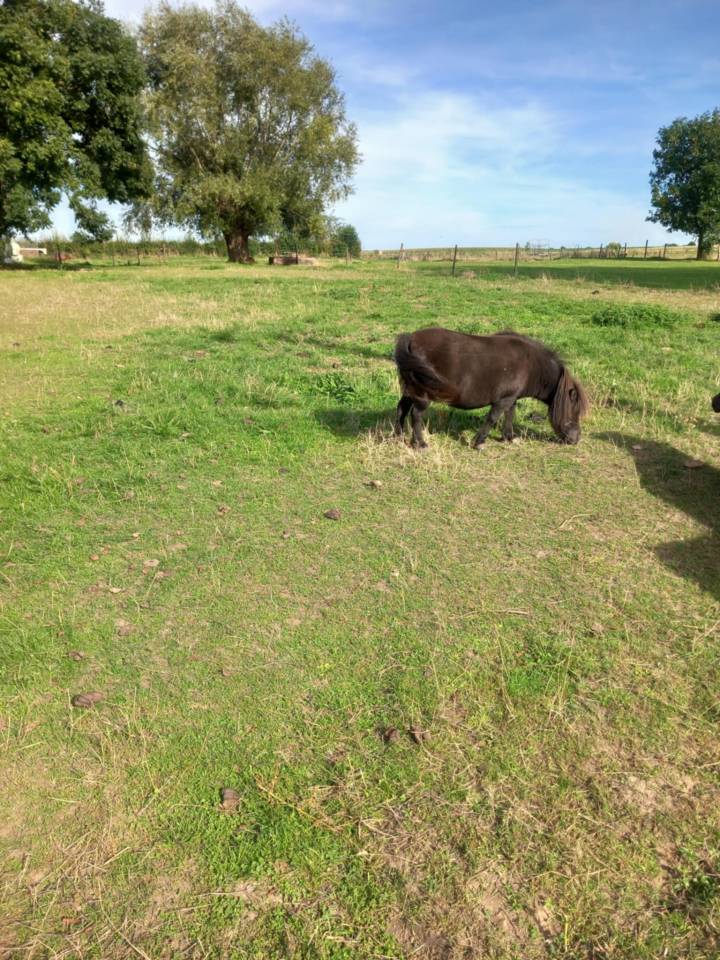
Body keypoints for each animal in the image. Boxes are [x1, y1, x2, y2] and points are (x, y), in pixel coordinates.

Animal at [393, 327, 588, 448]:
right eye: (575, 410)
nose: (576, 438)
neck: (531, 364)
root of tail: (411, 339)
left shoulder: (511, 398)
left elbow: (509, 415)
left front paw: (509, 437)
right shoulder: (502, 400)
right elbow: (492, 418)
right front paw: (478, 442)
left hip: (410, 390)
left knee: (401, 409)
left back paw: (398, 436)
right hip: (422, 394)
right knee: (416, 415)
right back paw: (420, 444)